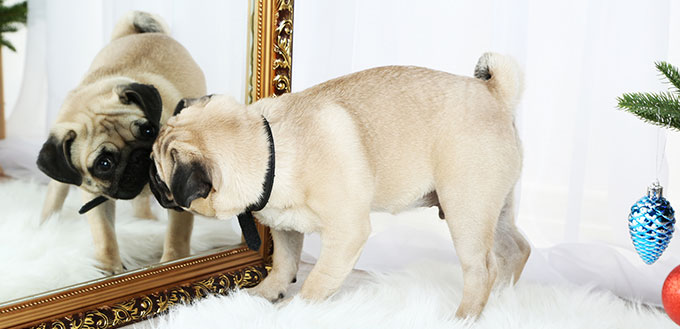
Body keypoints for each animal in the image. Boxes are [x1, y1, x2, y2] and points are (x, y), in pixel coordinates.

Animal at [37, 11, 206, 272]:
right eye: (104, 164)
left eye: (149, 130)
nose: (139, 156)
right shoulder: (95, 199)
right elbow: (104, 235)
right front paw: (108, 269)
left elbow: (177, 234)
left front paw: (174, 262)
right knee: (55, 195)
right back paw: (45, 226)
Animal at [149, 53, 532, 318]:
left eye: (157, 173)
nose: (149, 180)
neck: (270, 147)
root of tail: (495, 93)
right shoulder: (285, 227)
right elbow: (284, 263)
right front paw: (266, 294)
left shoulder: (347, 232)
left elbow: (319, 278)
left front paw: (296, 310)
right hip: (494, 209)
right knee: (517, 248)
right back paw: (502, 298)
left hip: (465, 209)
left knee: (482, 268)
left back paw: (465, 317)